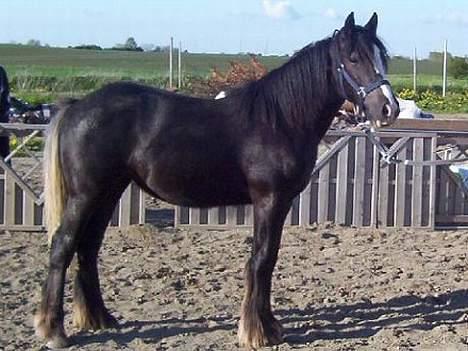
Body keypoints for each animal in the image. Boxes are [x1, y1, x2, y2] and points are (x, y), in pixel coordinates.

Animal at [33, 12, 398, 350]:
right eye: (354, 58)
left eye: (383, 57)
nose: (388, 108)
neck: (279, 119)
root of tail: (77, 106)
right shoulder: (270, 200)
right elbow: (262, 260)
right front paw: (258, 331)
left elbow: (267, 259)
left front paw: (266, 325)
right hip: (85, 194)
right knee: (63, 245)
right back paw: (54, 331)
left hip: (108, 192)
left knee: (88, 247)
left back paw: (100, 319)